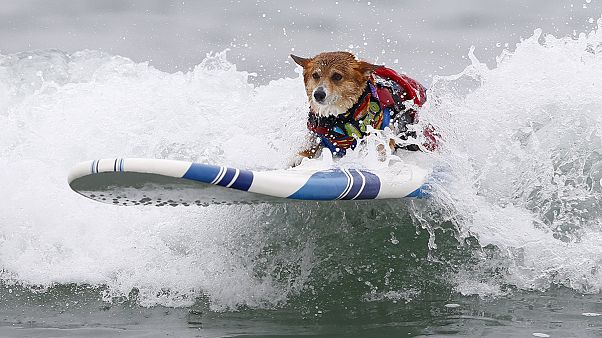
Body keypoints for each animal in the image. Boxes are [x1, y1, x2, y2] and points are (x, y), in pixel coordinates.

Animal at [290, 50, 432, 162]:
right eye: (315, 75)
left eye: (337, 76)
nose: (318, 94)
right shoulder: (316, 135)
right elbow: (309, 146)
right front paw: (299, 156)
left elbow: (380, 146)